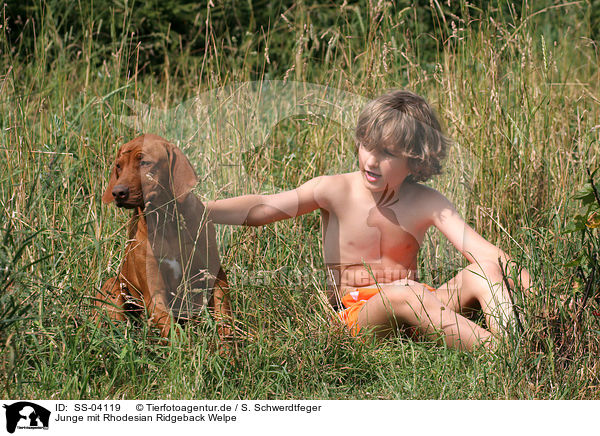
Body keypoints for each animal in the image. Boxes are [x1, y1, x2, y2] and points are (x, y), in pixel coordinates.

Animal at [97, 135, 231, 338]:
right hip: (112, 286)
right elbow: (174, 333)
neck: (167, 223)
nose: (118, 192)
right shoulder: (155, 295)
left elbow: (225, 320)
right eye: (118, 166)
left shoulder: (216, 277)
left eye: (144, 162)